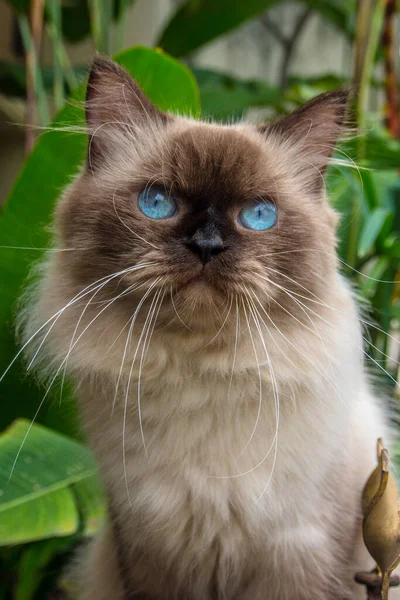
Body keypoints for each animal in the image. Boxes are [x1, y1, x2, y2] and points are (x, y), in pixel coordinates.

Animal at [20, 57, 386, 600]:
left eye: (259, 215)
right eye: (157, 203)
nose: (207, 245)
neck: (200, 375)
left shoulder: (301, 554)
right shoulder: (148, 552)